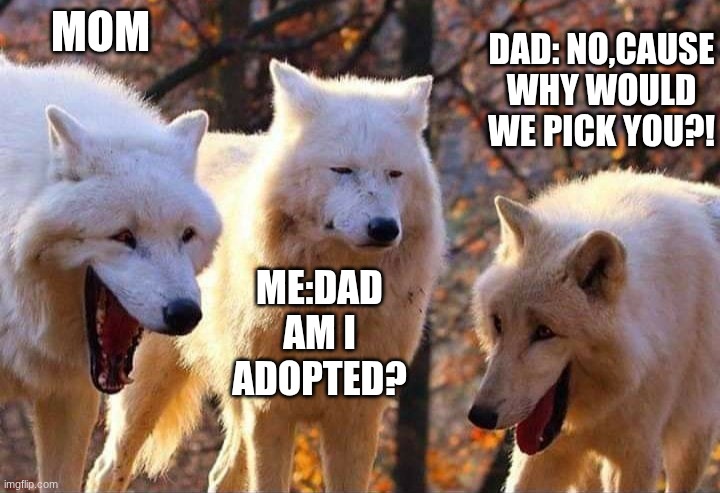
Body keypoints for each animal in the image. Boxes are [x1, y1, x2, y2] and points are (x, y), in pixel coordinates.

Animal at [86, 60, 445, 492]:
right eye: (342, 170)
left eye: (395, 174)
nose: (384, 228)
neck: (335, 303)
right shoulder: (270, 411)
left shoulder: (357, 416)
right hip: (147, 388)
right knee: (107, 469)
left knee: (221, 474)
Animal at [468, 170, 720, 492]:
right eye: (499, 323)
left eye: (544, 332)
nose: (480, 415)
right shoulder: (545, 453)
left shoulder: (637, 456)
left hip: (691, 442)